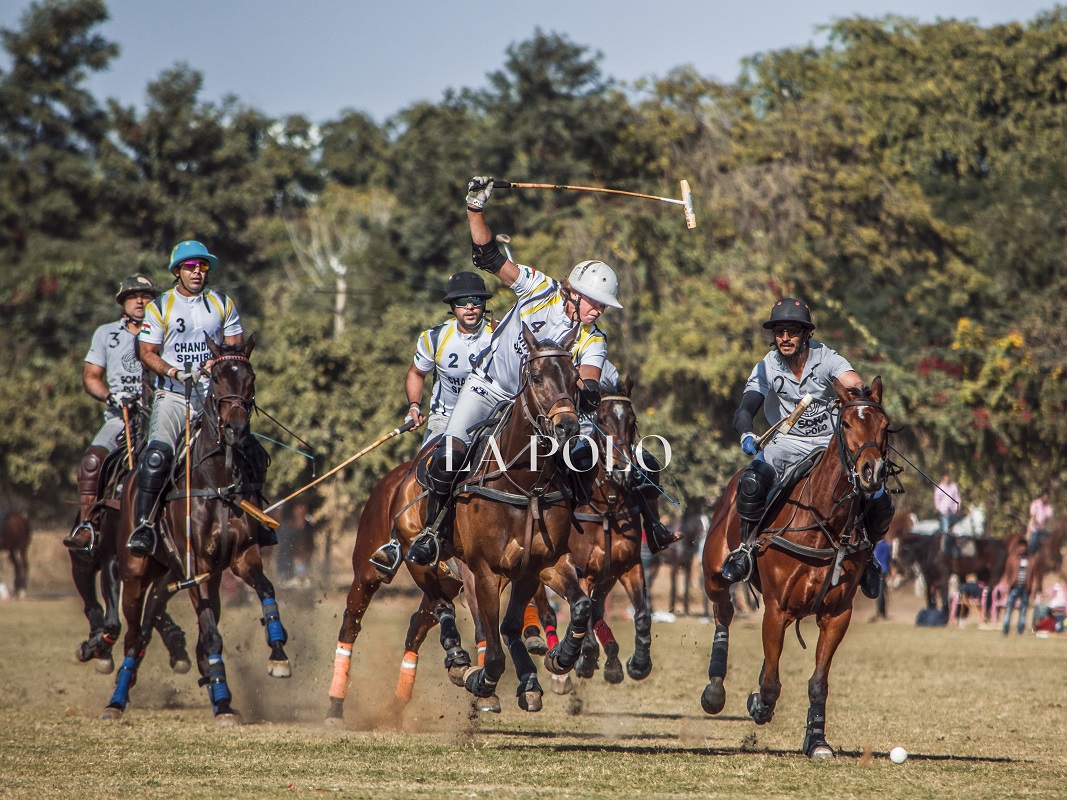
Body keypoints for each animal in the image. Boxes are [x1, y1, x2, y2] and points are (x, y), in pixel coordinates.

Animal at [102, 334, 290, 725]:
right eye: (215, 378)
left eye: (250, 378)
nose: (236, 429)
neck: (216, 479)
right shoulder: (195, 566)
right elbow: (212, 636)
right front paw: (222, 699)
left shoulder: (241, 558)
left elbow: (266, 591)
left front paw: (278, 655)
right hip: (136, 571)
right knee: (133, 636)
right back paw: (116, 700)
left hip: (183, 575)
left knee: (157, 626)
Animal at [699, 379, 892, 759]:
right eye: (847, 424)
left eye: (884, 425)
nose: (872, 472)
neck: (825, 523)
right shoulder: (776, 607)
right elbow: (771, 683)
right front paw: (760, 705)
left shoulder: (837, 613)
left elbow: (818, 682)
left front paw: (817, 741)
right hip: (714, 570)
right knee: (723, 610)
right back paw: (714, 687)